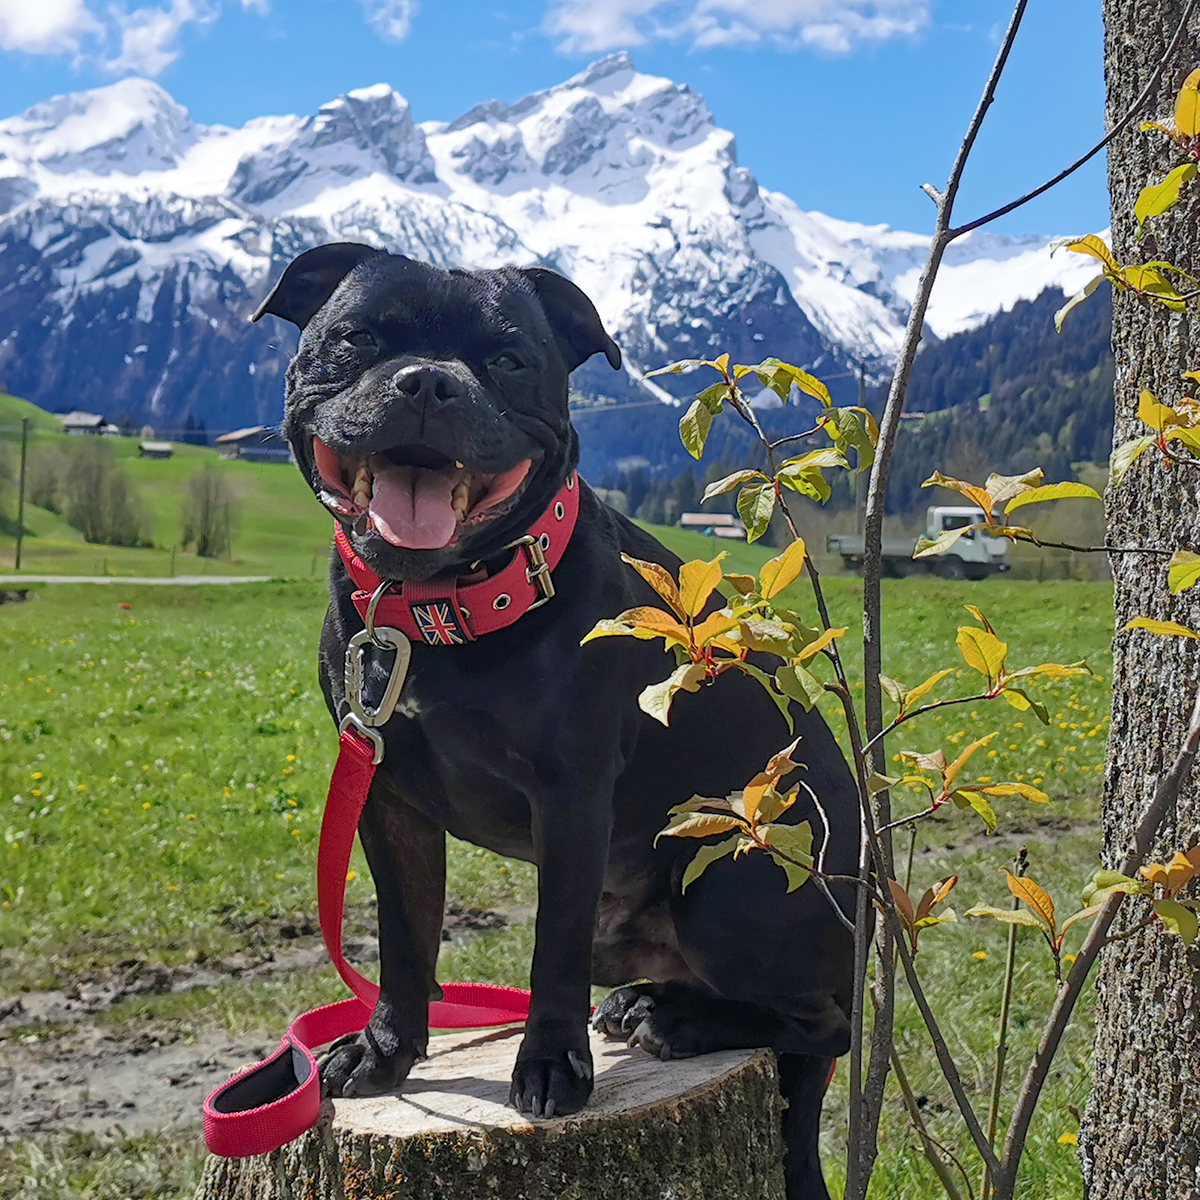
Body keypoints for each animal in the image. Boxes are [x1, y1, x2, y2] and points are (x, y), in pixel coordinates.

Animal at [253, 246, 859, 1200]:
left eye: (508, 359)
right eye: (357, 339)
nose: (428, 382)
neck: (442, 607)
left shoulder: (572, 800)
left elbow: (552, 951)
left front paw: (548, 1068)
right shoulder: (389, 801)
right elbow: (405, 940)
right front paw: (387, 1052)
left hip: (730, 881)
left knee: (825, 1023)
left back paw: (682, 1024)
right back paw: (654, 1002)